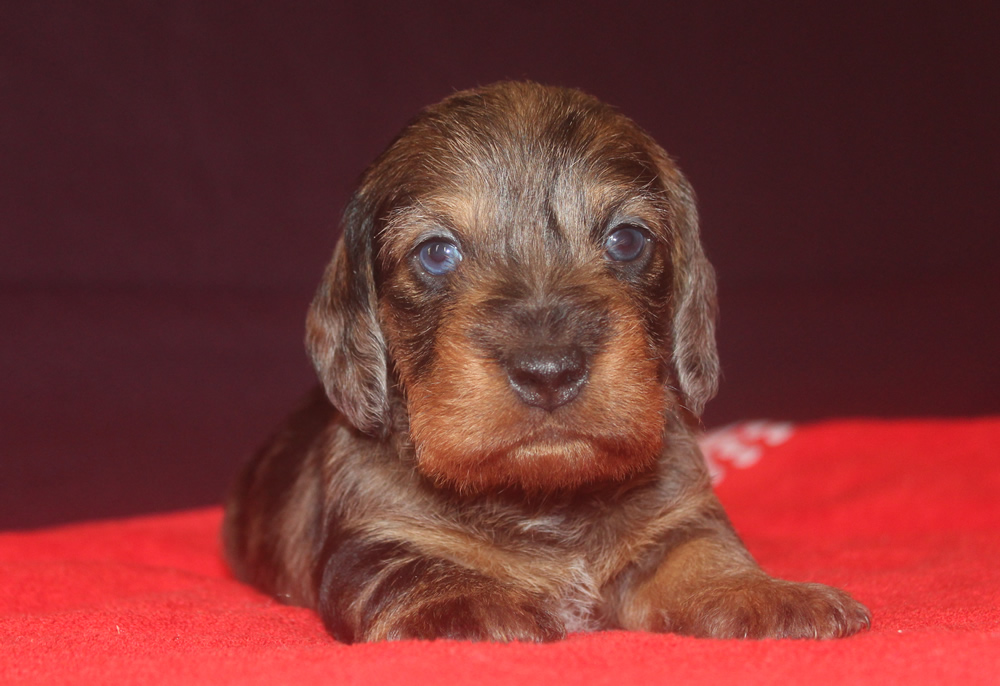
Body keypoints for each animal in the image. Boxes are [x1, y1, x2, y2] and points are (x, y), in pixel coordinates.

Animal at [223, 82, 872, 644]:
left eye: (626, 240)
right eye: (436, 253)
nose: (548, 372)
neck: (544, 499)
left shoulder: (677, 520)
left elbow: (704, 554)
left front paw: (769, 593)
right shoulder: (376, 537)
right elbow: (416, 570)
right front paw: (473, 604)